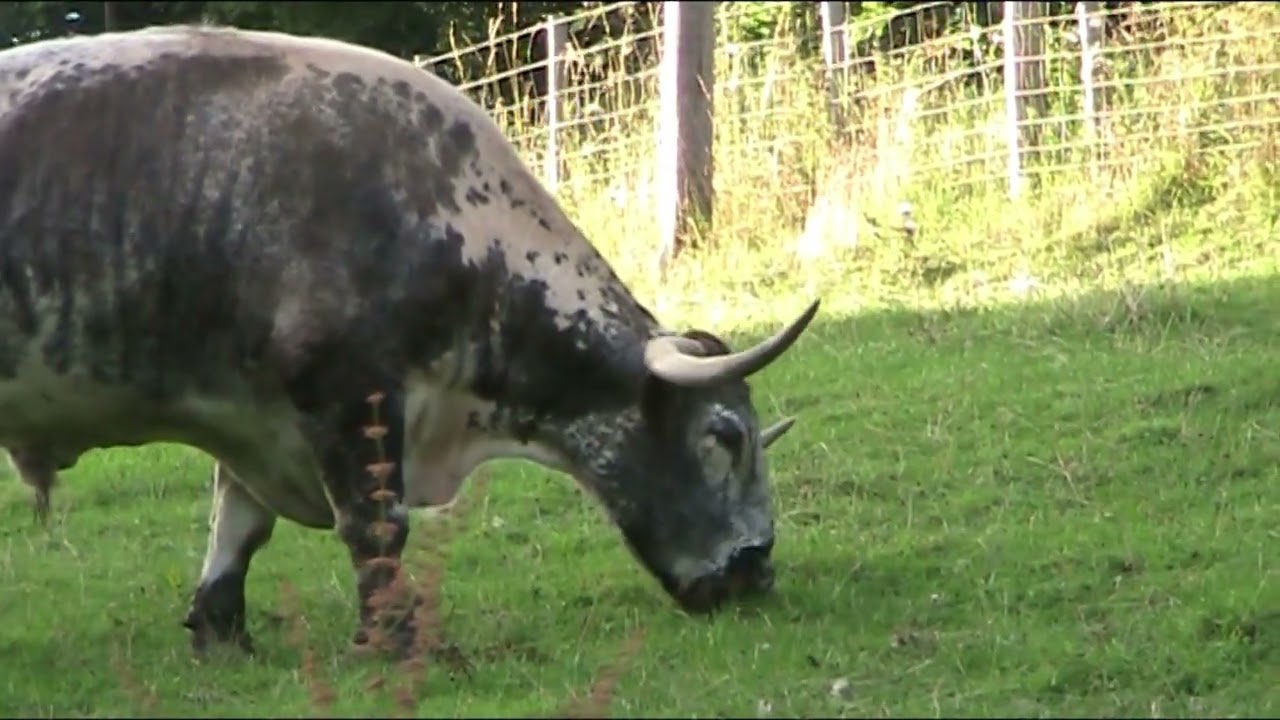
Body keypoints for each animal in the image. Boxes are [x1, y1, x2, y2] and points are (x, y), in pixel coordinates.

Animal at [0, 24, 820, 657]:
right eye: (724, 436)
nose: (758, 568)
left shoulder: (252, 417)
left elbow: (238, 526)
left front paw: (221, 633)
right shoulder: (348, 395)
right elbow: (376, 525)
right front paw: (392, 639)